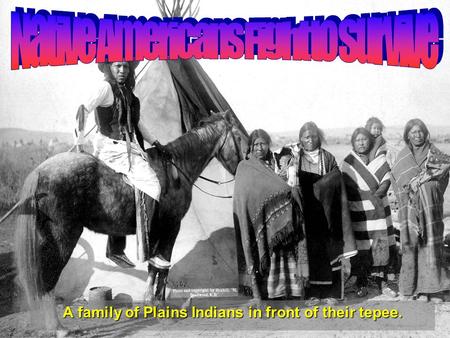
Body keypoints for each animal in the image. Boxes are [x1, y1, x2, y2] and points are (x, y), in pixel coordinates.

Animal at [3, 111, 248, 330]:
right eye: (239, 136)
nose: (245, 163)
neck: (176, 171)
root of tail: (39, 171)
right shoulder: (171, 227)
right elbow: (163, 266)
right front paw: (161, 308)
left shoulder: (156, 232)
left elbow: (153, 267)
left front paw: (150, 303)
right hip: (63, 238)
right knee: (48, 276)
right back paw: (58, 327)